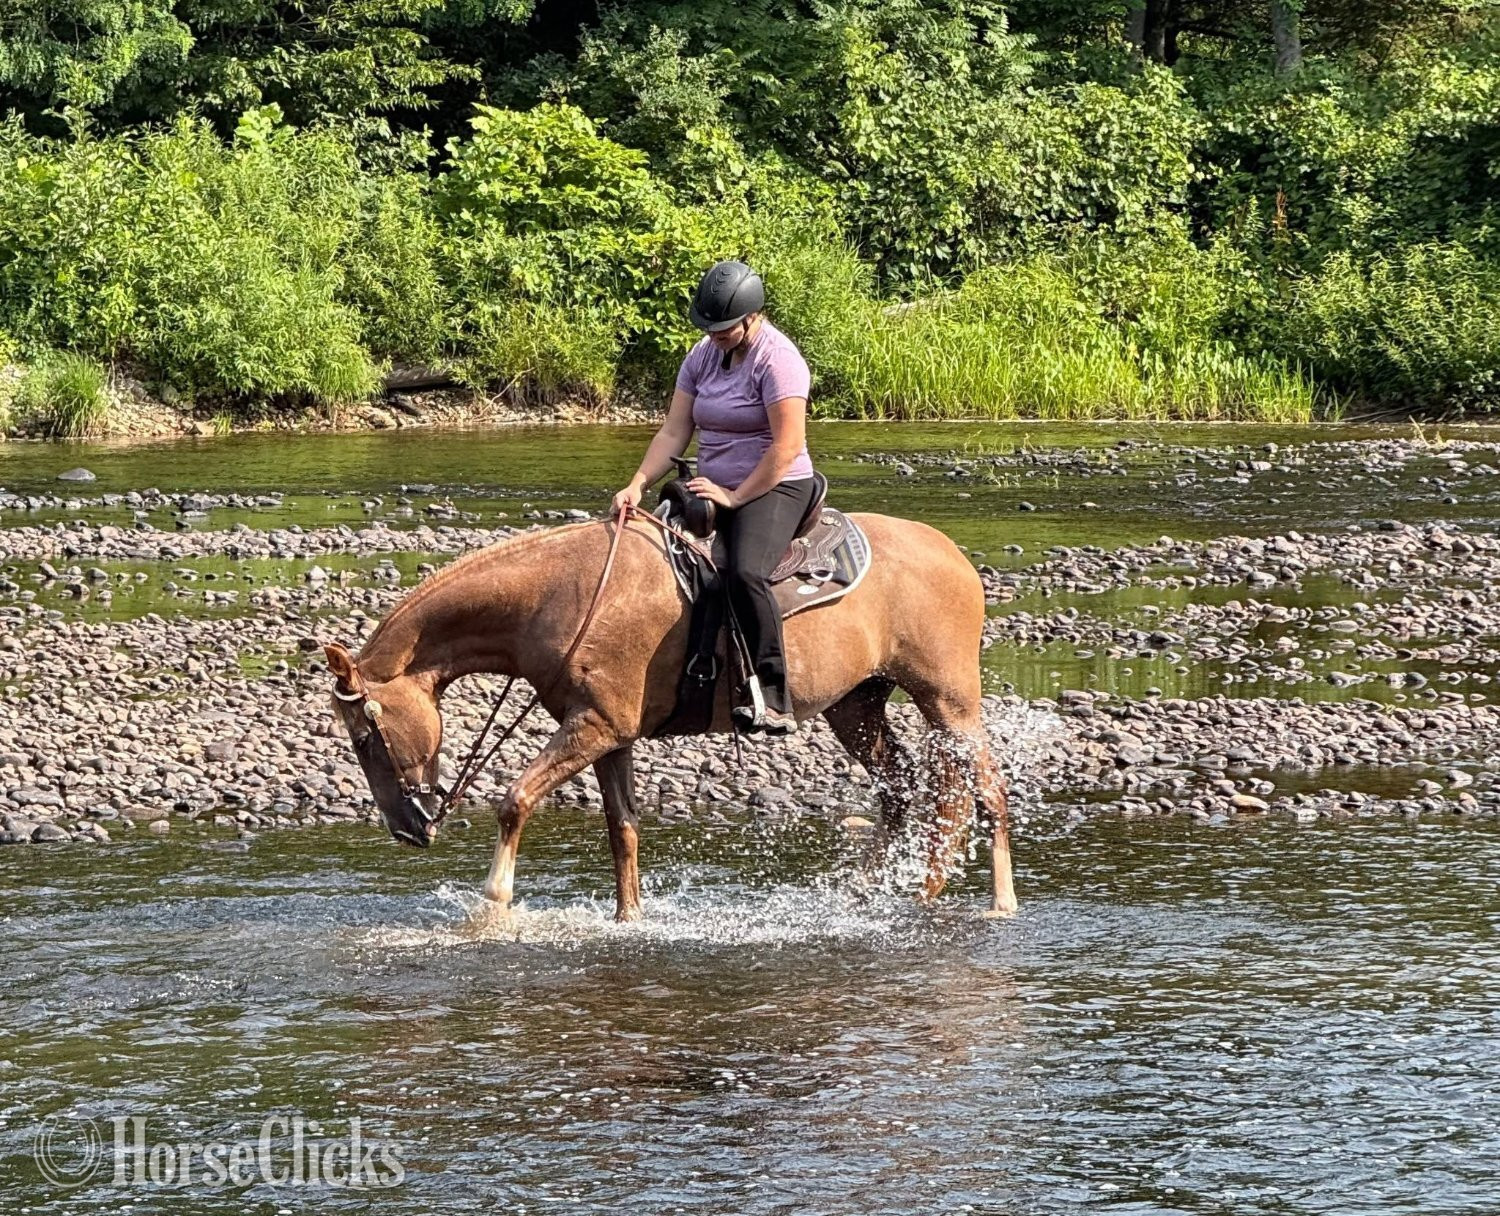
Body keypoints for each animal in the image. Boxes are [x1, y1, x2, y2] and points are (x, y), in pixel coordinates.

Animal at [323, 511, 1016, 921]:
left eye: (364, 738)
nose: (406, 831)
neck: (558, 595)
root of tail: (954, 555)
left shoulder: (594, 726)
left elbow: (516, 800)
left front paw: (491, 909)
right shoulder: (609, 736)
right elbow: (622, 830)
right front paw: (628, 920)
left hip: (949, 701)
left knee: (984, 792)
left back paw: (997, 902)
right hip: (857, 705)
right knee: (903, 791)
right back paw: (870, 894)